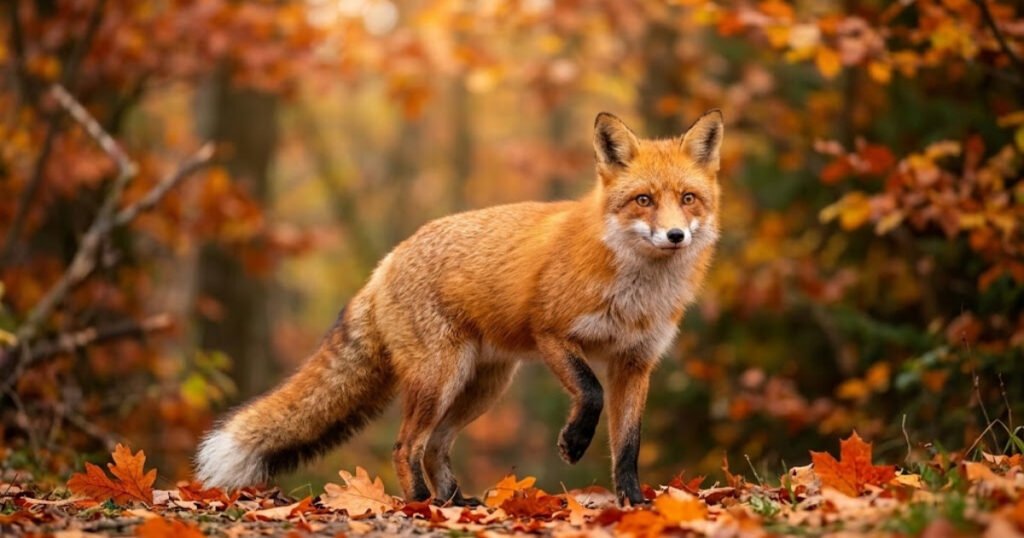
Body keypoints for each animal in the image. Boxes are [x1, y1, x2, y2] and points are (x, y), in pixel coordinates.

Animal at [195, 110, 724, 506]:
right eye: (643, 200)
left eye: (688, 199)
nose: (675, 235)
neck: (636, 293)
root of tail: (387, 260)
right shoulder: (552, 334)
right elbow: (590, 393)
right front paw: (573, 443)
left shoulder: (634, 362)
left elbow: (629, 446)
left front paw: (633, 501)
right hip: (441, 377)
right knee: (406, 444)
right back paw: (420, 504)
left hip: (481, 387)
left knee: (435, 446)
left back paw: (454, 502)